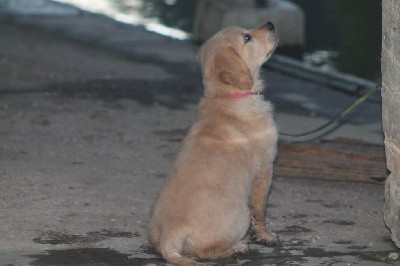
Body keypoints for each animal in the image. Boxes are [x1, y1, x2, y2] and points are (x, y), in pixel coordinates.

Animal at [149, 21, 278, 264]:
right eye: (247, 37)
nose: (271, 24)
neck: (227, 97)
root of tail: (170, 235)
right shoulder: (265, 168)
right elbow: (261, 209)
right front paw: (265, 236)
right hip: (241, 212)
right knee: (205, 252)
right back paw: (237, 247)